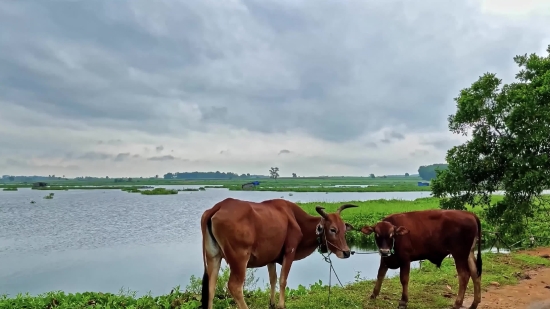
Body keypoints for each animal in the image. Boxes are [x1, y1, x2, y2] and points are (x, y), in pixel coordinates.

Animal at [199, 197, 358, 308]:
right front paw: (281, 305)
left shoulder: (271, 258)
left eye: (344, 229)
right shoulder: (290, 252)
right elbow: (282, 280)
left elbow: (273, 279)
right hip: (239, 259)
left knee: (210, 288)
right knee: (235, 287)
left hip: (213, 256)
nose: (346, 252)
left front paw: (272, 303)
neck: (296, 220)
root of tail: (219, 206)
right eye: (332, 229)